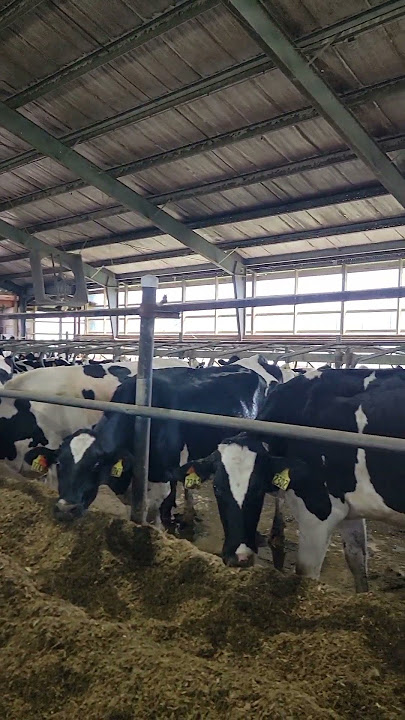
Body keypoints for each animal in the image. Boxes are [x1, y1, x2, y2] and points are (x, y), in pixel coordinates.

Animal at [179, 367, 405, 592]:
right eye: (217, 488)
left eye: (258, 489)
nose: (239, 557)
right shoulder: (350, 507)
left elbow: (305, 573)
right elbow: (357, 561)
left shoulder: (318, 511)